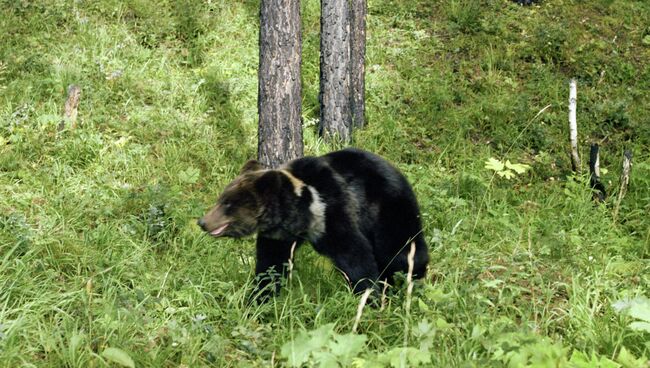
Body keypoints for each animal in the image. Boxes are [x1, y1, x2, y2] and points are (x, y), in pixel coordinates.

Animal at [197, 148, 430, 300]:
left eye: (228, 204)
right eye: (221, 199)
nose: (203, 222)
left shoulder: (333, 215)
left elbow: (355, 256)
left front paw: (369, 296)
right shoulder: (279, 236)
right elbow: (270, 265)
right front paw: (259, 298)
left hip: (388, 209)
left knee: (401, 251)